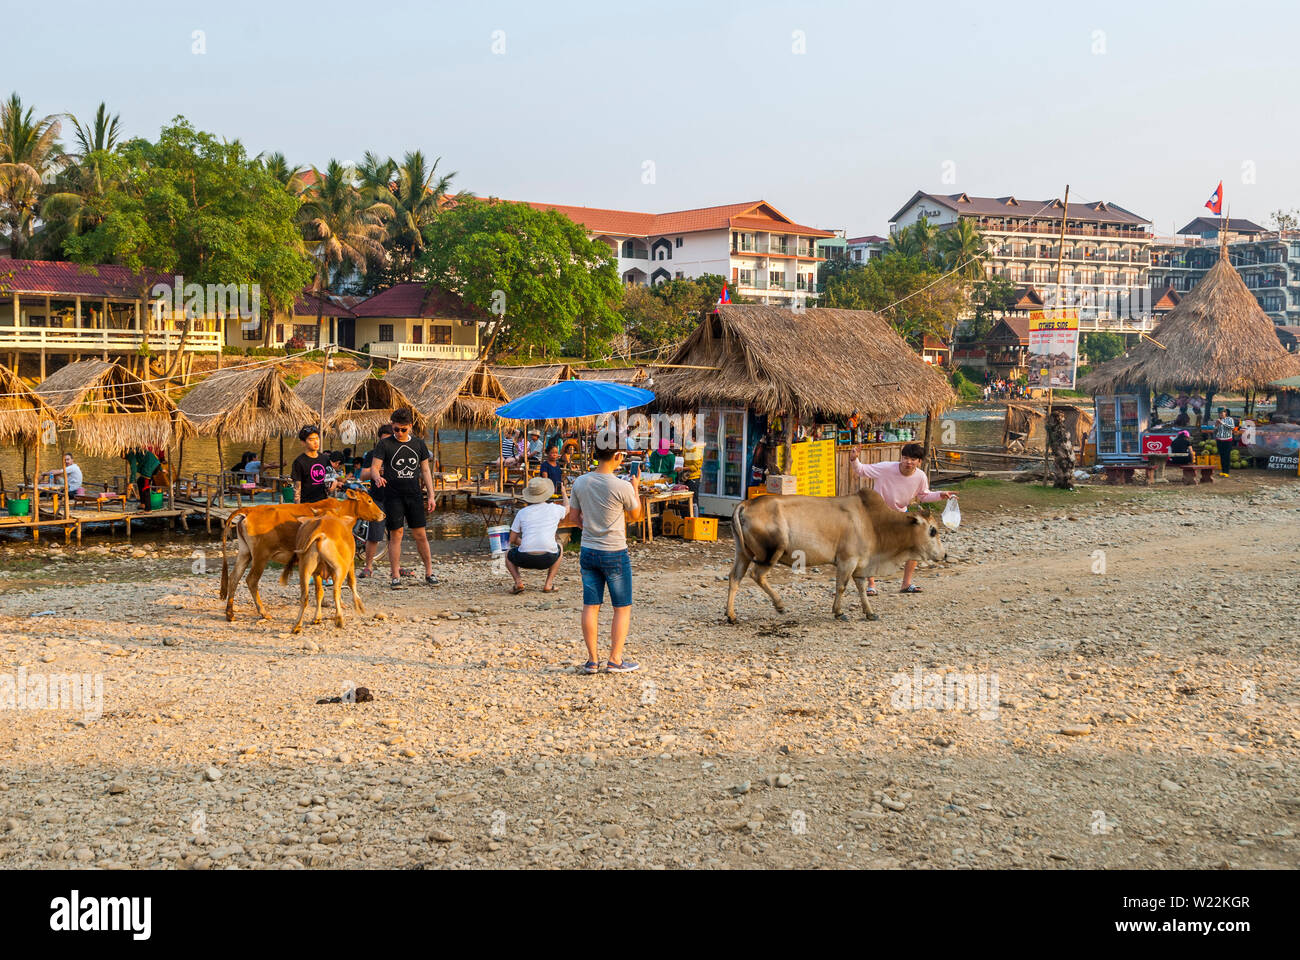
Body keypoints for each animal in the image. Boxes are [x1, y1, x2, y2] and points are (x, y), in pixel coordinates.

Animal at [219, 486, 384, 621]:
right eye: (369, 500)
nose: (383, 514)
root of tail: (249, 510)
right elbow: (343, 580)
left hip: (245, 552)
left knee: (234, 577)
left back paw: (230, 613)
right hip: (261, 556)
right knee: (251, 580)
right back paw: (263, 612)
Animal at [728, 486, 951, 621]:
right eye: (933, 530)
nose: (944, 555)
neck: (873, 522)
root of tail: (747, 503)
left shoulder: (860, 565)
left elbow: (861, 588)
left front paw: (870, 613)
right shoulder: (847, 561)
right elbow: (841, 587)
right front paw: (838, 612)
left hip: (743, 553)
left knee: (735, 577)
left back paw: (731, 615)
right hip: (771, 552)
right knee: (756, 575)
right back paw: (780, 605)